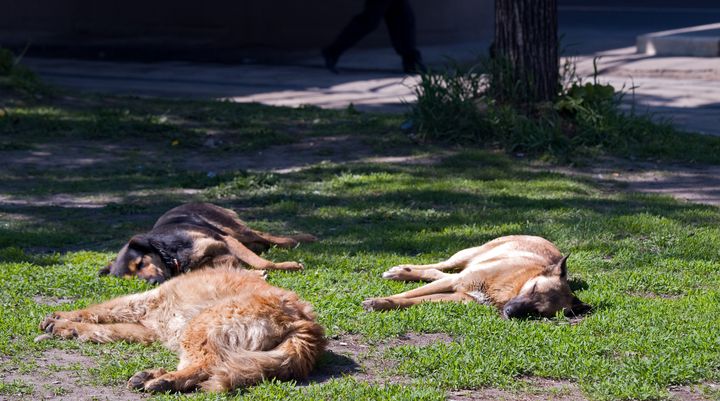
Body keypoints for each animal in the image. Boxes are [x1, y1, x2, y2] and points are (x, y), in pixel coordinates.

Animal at [36, 264, 324, 392]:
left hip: (199, 326)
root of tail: (305, 323)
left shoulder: (143, 301)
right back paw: (151, 376)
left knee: (206, 365)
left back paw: (162, 381)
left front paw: (61, 320)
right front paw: (68, 327)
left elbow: (100, 309)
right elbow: (105, 327)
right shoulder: (148, 328)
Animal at [99, 202, 316, 282]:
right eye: (133, 278)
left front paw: (289, 266)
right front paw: (254, 274)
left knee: (264, 235)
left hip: (233, 230)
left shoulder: (226, 240)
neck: (172, 255)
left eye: (141, 263)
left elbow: (262, 262)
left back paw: (301, 239)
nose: (152, 282)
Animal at [362, 234, 588, 316]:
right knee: (439, 266)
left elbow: (413, 300)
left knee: (438, 273)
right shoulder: (457, 281)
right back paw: (401, 271)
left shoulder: (459, 296)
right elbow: (406, 295)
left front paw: (382, 303)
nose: (509, 311)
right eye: (533, 289)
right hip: (466, 256)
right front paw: (379, 301)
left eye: (539, 312)